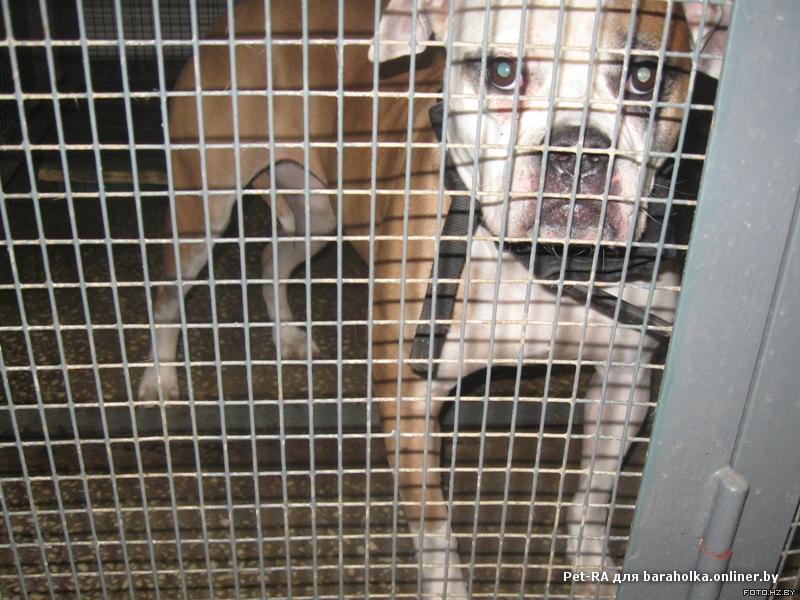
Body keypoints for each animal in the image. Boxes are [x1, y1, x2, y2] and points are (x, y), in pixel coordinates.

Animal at [137, 0, 727, 596]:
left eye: (644, 77)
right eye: (502, 71)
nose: (576, 153)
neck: (546, 263)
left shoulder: (625, 381)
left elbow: (595, 494)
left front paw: (591, 568)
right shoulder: (409, 396)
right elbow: (436, 531)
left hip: (319, 216)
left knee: (269, 260)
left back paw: (286, 335)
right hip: (202, 209)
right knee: (165, 296)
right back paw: (158, 380)